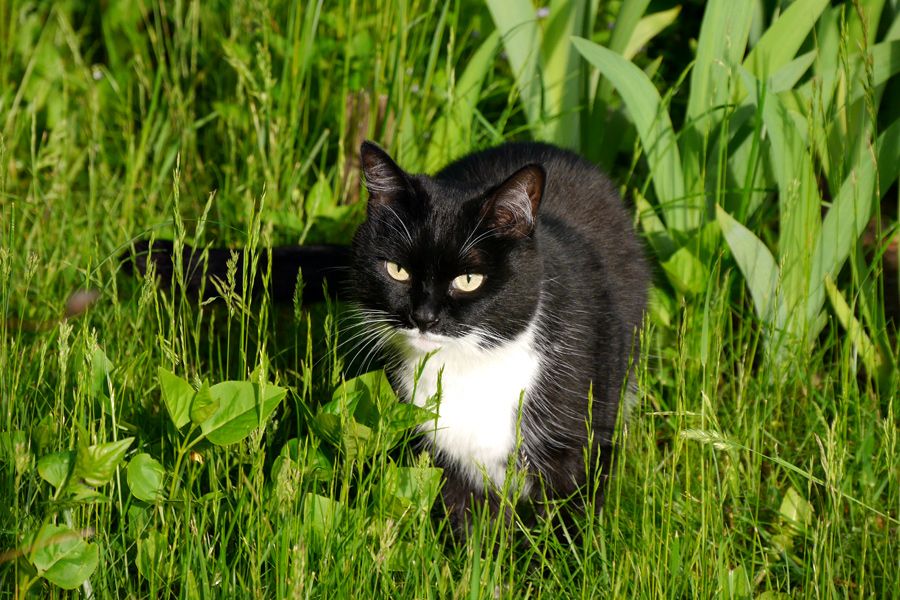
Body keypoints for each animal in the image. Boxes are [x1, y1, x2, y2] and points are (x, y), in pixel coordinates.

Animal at [128, 142, 648, 536]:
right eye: (397, 270)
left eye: (468, 280)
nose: (423, 316)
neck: (472, 366)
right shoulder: (440, 457)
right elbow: (468, 530)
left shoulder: (576, 444)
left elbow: (565, 525)